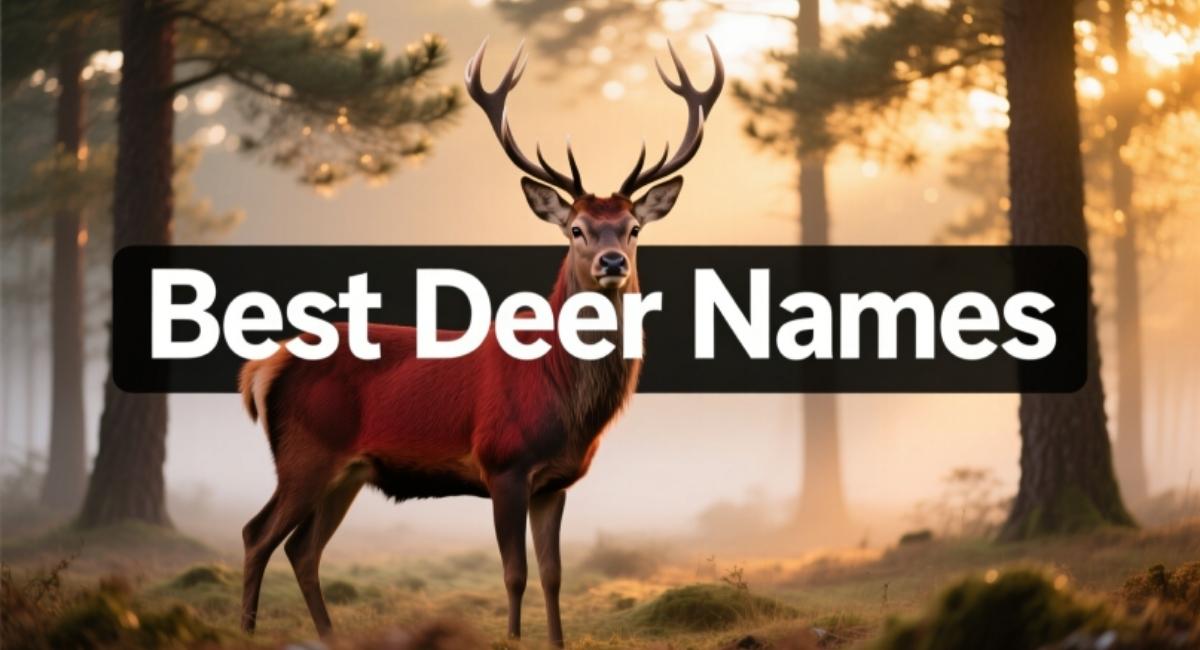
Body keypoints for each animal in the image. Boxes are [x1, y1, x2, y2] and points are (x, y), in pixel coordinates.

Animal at [236, 37, 722, 646]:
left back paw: (327, 634)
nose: (613, 262)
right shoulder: (502, 463)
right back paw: (247, 629)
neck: (562, 399)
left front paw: (557, 640)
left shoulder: (555, 482)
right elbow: (514, 572)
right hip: (305, 450)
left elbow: (554, 575)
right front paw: (513, 638)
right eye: (576, 229)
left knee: (303, 549)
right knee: (257, 534)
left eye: (634, 228)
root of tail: (266, 365)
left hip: (348, 470)